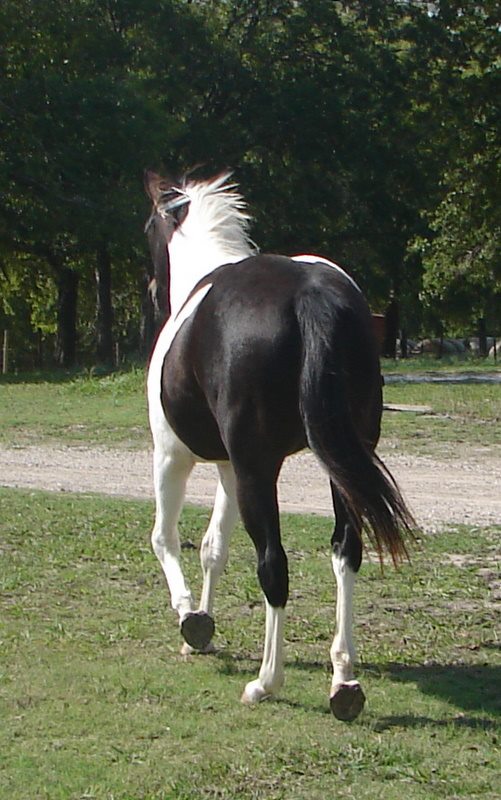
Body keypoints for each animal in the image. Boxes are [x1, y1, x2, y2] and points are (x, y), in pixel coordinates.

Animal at [144, 170, 415, 720]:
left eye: (148, 232)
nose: (152, 289)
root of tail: (309, 295)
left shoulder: (175, 456)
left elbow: (166, 538)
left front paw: (189, 619)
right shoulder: (229, 468)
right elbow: (214, 547)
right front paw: (202, 623)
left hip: (256, 470)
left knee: (274, 564)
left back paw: (266, 682)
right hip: (337, 464)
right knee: (345, 549)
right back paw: (343, 681)